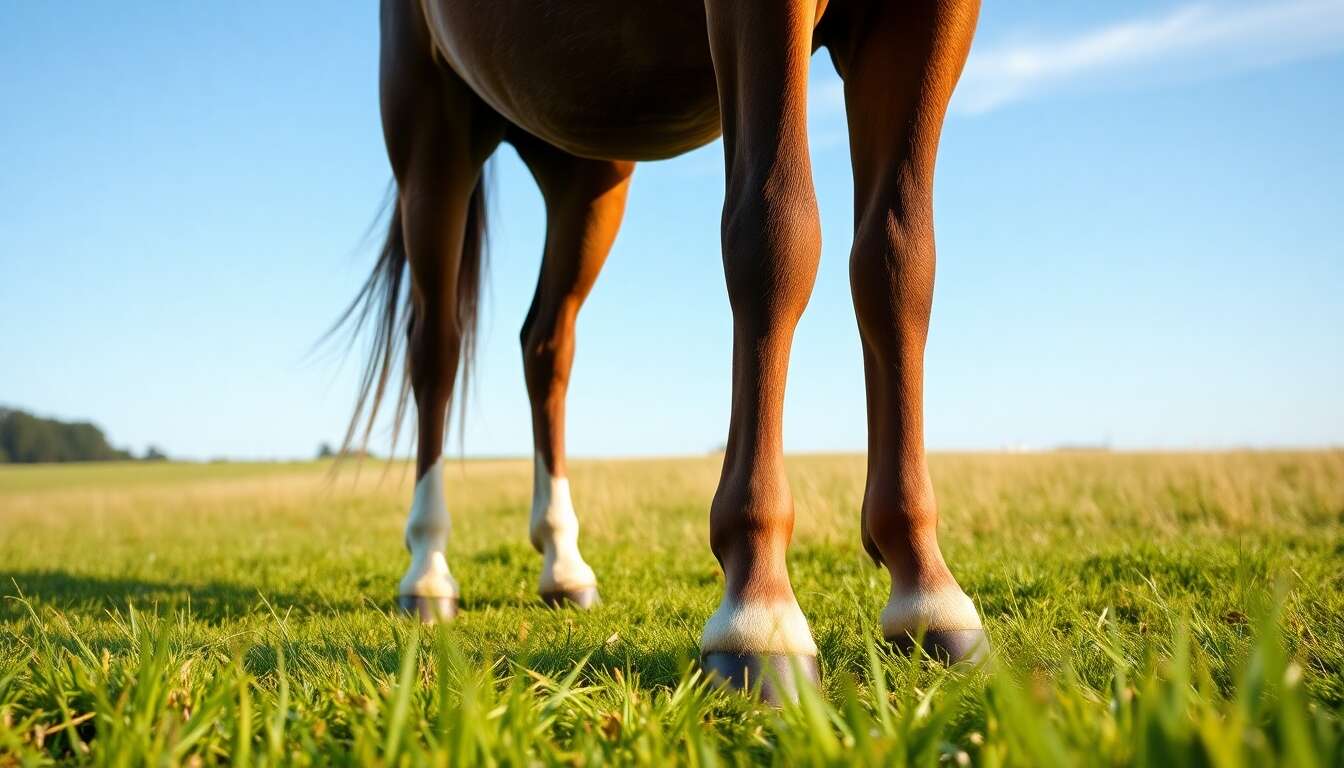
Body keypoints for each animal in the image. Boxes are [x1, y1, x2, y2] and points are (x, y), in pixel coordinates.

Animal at [336, 0, 985, 701]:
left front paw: (925, 590)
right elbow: (776, 236)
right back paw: (427, 567)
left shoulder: (926, 20)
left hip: (581, 168)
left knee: (545, 345)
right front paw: (758, 612)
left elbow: (898, 264)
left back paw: (562, 563)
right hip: (433, 134)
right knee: (436, 349)